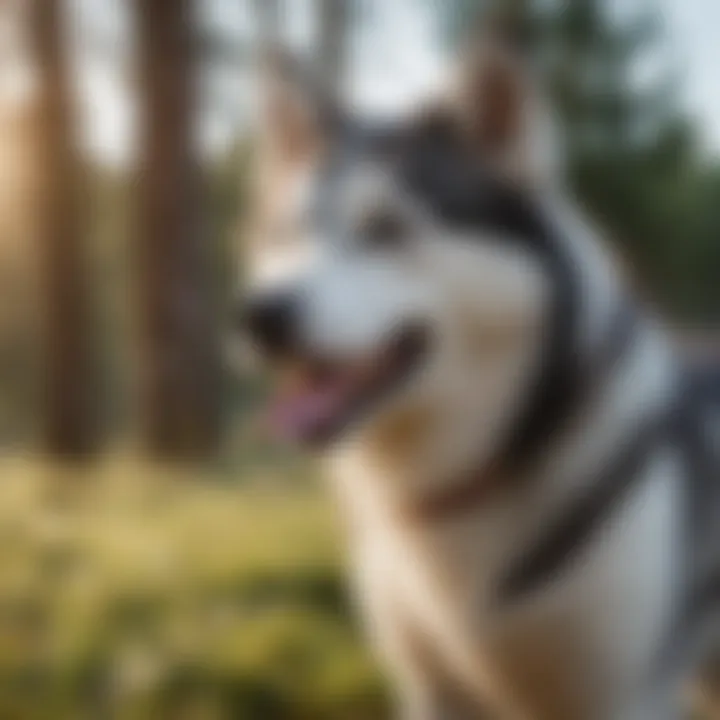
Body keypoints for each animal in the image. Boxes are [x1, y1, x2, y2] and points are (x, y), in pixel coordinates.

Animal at [238, 32, 720, 720]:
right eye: (284, 233)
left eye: (387, 228)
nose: (260, 315)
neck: (468, 475)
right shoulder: (432, 690)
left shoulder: (624, 695)